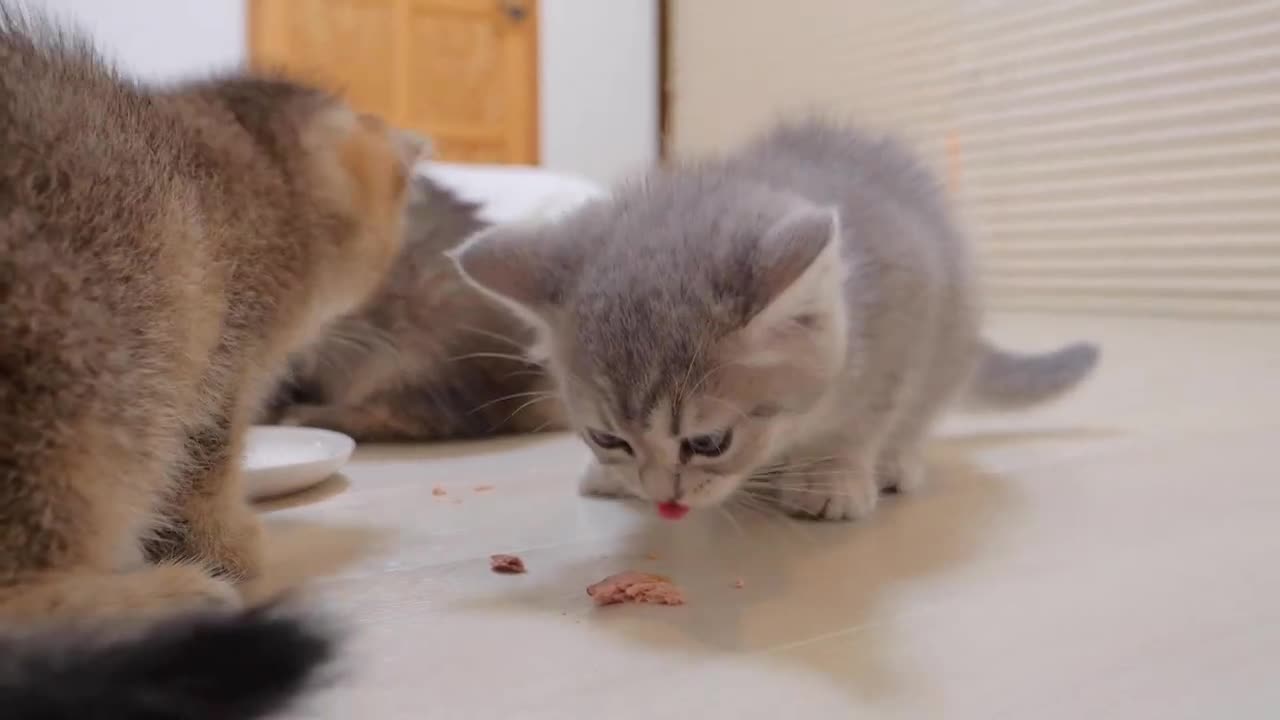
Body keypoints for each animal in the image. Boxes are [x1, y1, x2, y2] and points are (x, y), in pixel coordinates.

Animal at [445, 120, 1095, 517]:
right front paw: (612, 474)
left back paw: (895, 461)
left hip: (952, 327)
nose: (663, 500)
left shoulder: (904, 320)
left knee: (922, 407)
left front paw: (831, 474)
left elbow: (866, 415)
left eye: (709, 443)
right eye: (608, 437)